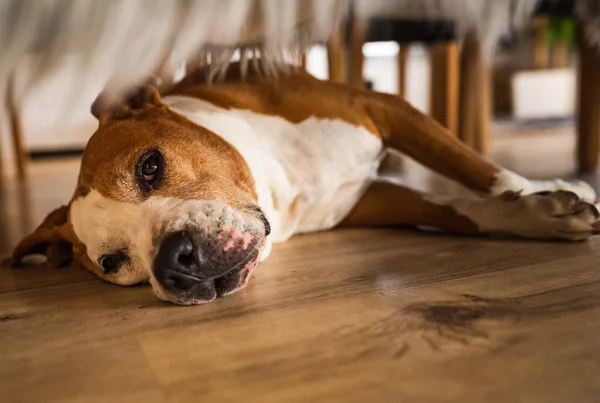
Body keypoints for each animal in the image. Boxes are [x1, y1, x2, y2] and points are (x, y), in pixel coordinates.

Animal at [9, 66, 600, 304]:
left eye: (149, 167)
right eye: (113, 263)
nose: (175, 260)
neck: (281, 177)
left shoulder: (385, 106)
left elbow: (483, 170)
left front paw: (542, 193)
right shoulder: (370, 199)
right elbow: (459, 211)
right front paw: (540, 212)